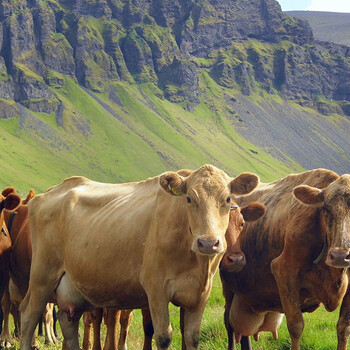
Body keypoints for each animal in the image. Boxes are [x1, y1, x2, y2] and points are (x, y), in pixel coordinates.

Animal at [19, 165, 260, 350]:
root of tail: (53, 191)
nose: (208, 242)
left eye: (227, 198)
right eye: (189, 199)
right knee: (28, 315)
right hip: (42, 276)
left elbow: (192, 338)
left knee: (68, 322)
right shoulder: (156, 289)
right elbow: (163, 337)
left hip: (71, 286)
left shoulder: (200, 295)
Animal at [220, 168, 350, 348]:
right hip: (227, 283)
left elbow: (343, 328)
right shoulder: (284, 272)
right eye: (325, 208)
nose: (340, 256)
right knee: (228, 322)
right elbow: (296, 326)